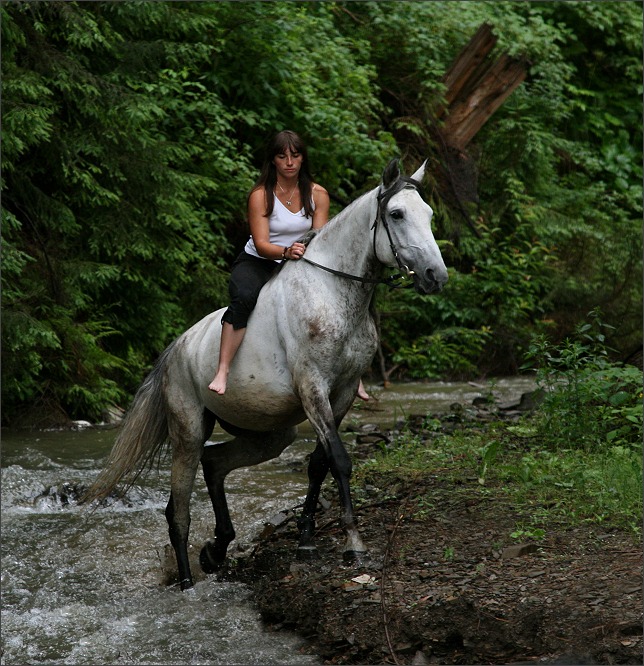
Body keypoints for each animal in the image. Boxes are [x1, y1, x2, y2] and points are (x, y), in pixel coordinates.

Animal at [83, 158, 448, 588]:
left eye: (429, 214)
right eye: (397, 214)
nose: (436, 276)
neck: (331, 292)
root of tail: (175, 348)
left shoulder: (340, 394)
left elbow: (319, 463)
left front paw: (306, 541)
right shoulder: (313, 388)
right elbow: (340, 460)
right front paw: (354, 543)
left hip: (269, 433)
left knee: (214, 464)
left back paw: (217, 550)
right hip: (188, 429)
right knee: (179, 510)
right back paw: (188, 581)